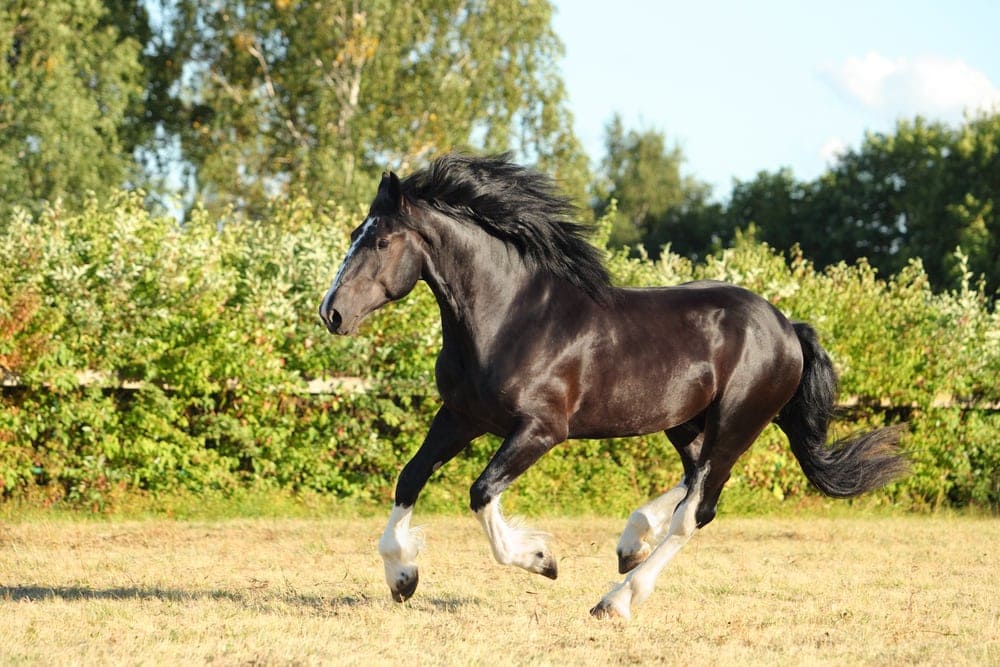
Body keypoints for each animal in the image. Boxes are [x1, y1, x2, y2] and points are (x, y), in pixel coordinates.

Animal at [318, 153, 907, 620]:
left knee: (698, 509)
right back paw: (631, 542)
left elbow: (481, 492)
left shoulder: (540, 431)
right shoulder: (461, 417)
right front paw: (403, 578)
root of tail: (787, 327)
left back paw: (616, 599)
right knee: (693, 480)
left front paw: (542, 560)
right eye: (352, 236)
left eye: (382, 240)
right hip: (685, 422)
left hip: (737, 423)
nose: (332, 313)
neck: (508, 318)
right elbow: (409, 477)